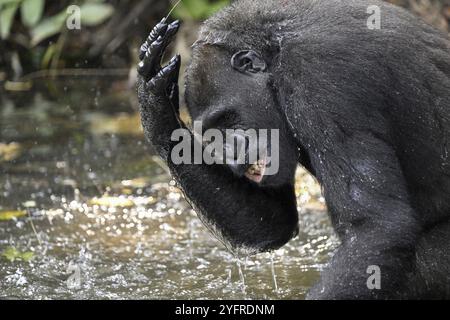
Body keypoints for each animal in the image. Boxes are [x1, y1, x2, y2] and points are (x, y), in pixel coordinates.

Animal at [137, 0, 450, 300]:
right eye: (212, 134)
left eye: (226, 119)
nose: (232, 156)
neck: (276, 54)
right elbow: (273, 223)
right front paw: (156, 106)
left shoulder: (317, 78)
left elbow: (376, 227)